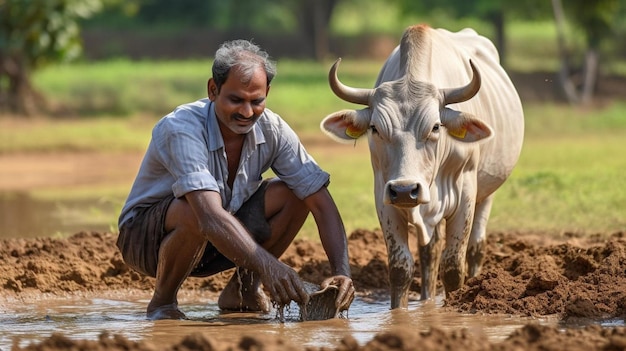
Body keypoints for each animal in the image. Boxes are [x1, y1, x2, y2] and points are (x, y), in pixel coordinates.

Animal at [322, 24, 520, 310]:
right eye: (375, 128)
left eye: (436, 126)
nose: (406, 190)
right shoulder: (384, 196)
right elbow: (401, 267)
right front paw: (400, 312)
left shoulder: (465, 195)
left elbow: (453, 267)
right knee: (430, 250)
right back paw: (427, 299)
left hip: (487, 193)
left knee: (476, 248)